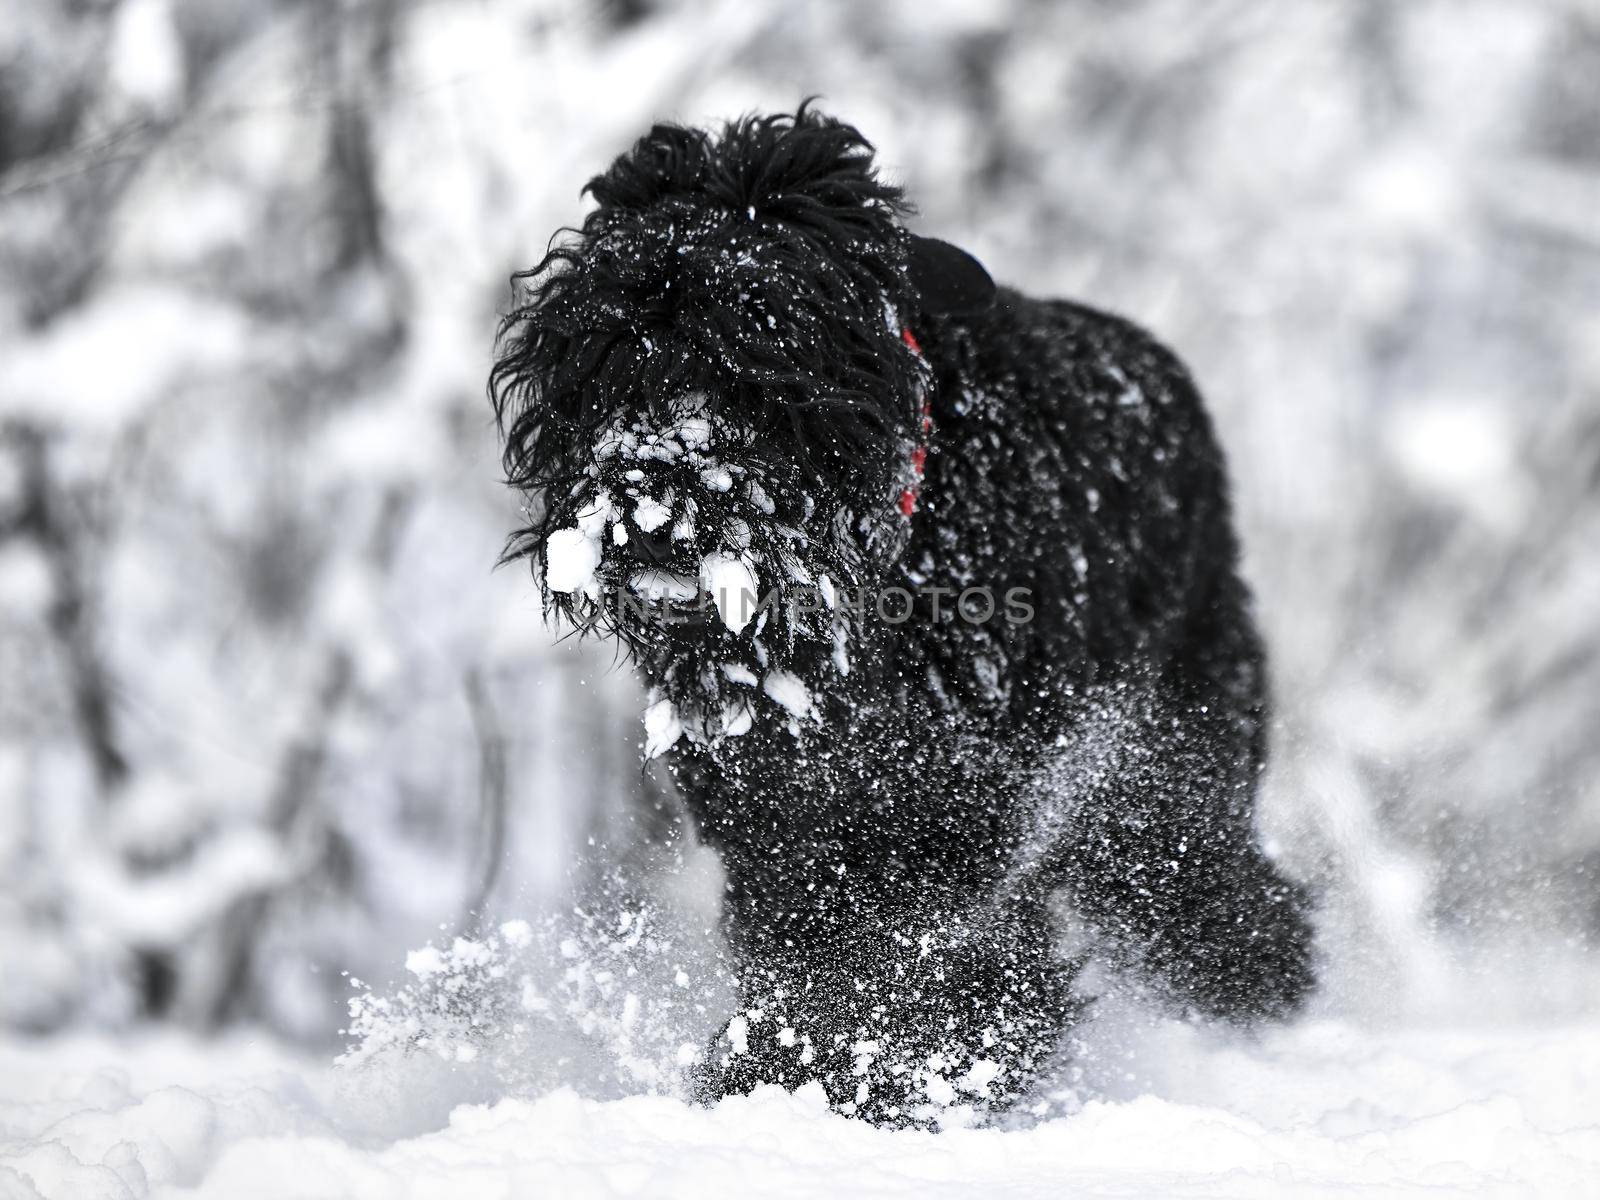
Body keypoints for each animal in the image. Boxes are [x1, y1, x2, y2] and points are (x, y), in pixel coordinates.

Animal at [486, 103, 1312, 1126]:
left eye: (769, 351)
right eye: (604, 354)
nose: (652, 508)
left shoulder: (944, 818)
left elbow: (896, 969)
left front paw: (886, 1074)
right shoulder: (776, 821)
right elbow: (814, 959)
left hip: (1168, 761)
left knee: (1217, 894)